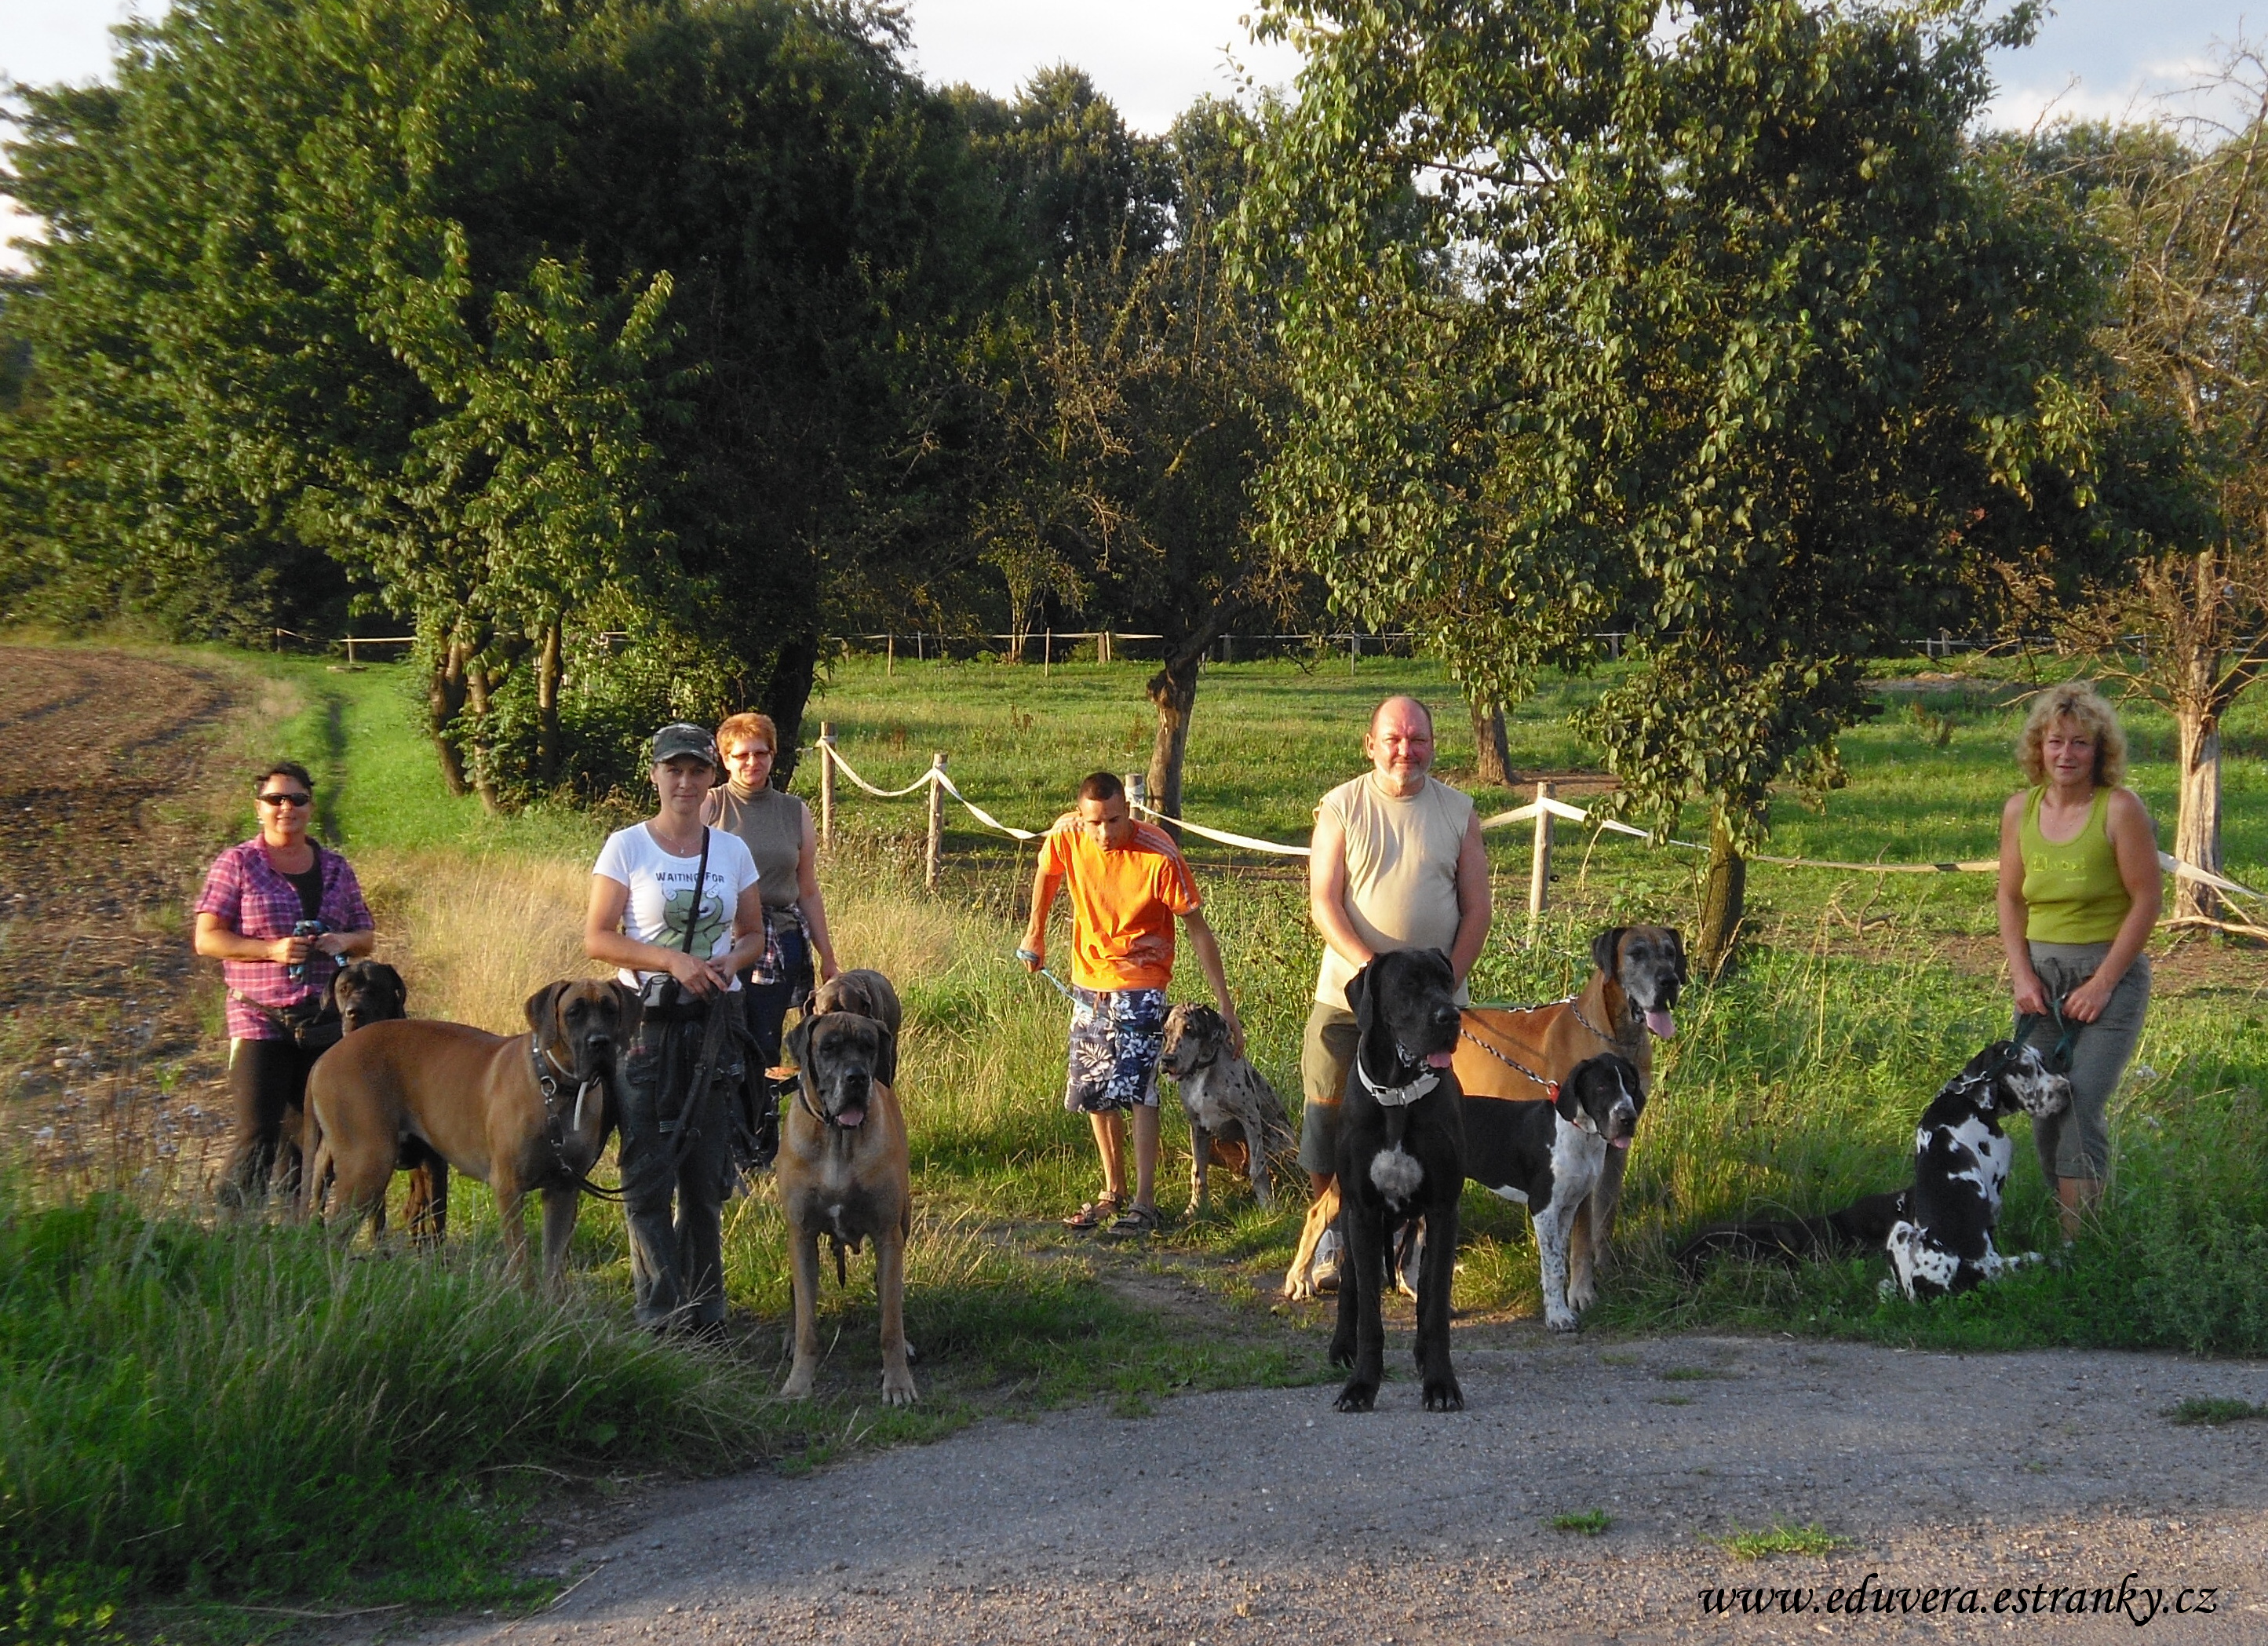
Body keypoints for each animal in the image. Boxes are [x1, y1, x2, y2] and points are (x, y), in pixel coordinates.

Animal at [1170, 997, 1297, 1215]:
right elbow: (1198, 1171)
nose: (1167, 1060)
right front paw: (1195, 1207)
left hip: (1277, 1141)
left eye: (1190, 1029)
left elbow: (1258, 1169)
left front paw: (1267, 1204)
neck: (1204, 1071)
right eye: (1166, 1030)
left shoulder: (1249, 1119)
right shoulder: (1197, 1128)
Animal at [1669, 1042, 2077, 1305]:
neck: (1965, 1099)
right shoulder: (1992, 1193)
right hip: (1908, 1233)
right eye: (2026, 1070)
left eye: (2043, 1062)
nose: (2066, 1089)